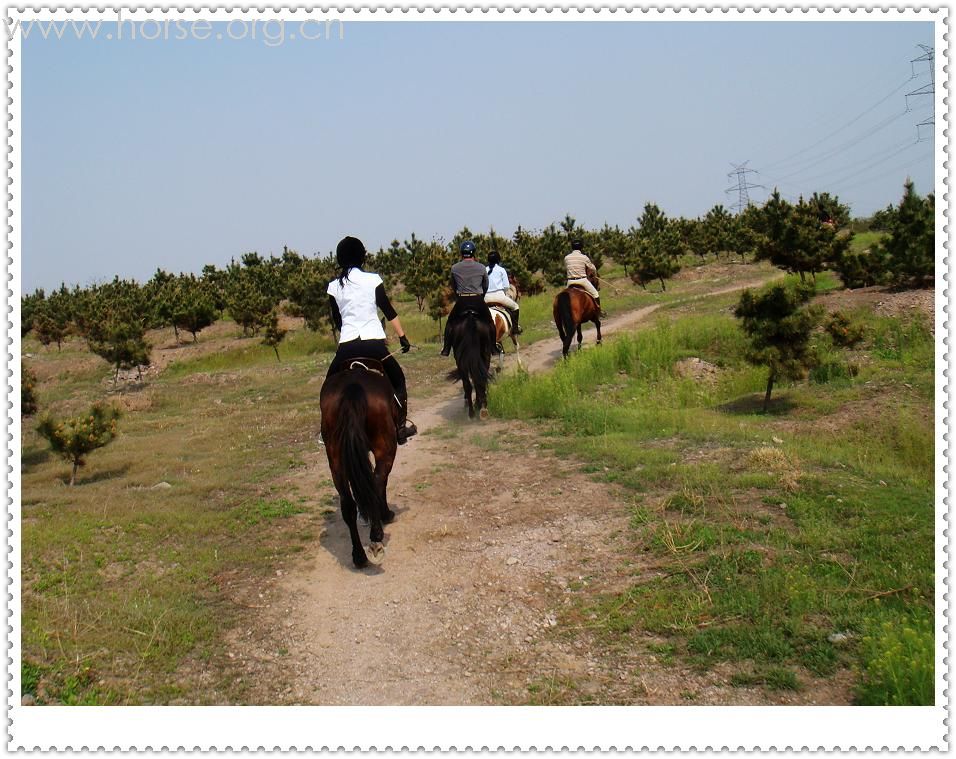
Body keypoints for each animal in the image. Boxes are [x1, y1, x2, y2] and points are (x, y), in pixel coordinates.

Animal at [320, 364, 398, 568]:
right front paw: (386, 514)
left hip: (336, 460)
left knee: (348, 504)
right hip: (386, 449)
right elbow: (381, 481)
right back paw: (377, 533)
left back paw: (359, 556)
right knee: (377, 483)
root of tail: (352, 387)